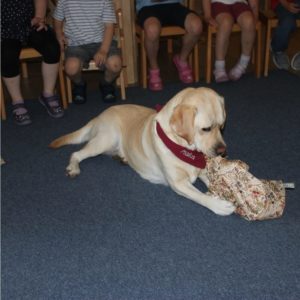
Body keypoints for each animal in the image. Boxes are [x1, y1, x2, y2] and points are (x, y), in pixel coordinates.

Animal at [50, 86, 236, 216]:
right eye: (206, 129)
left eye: (222, 126)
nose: (223, 151)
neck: (181, 146)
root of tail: (98, 116)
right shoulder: (178, 183)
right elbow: (200, 196)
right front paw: (219, 205)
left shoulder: (201, 170)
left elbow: (212, 182)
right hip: (105, 139)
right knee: (77, 154)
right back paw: (73, 168)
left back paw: (122, 158)